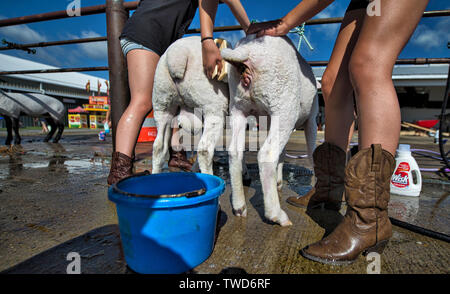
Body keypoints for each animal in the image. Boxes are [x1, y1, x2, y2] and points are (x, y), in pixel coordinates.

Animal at [221, 35, 316, 227]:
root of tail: (248, 50)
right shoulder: (312, 117)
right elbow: (312, 151)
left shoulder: (267, 118)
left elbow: (283, 153)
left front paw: (278, 180)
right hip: (284, 103)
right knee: (266, 154)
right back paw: (277, 215)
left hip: (238, 106)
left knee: (234, 151)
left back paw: (239, 206)